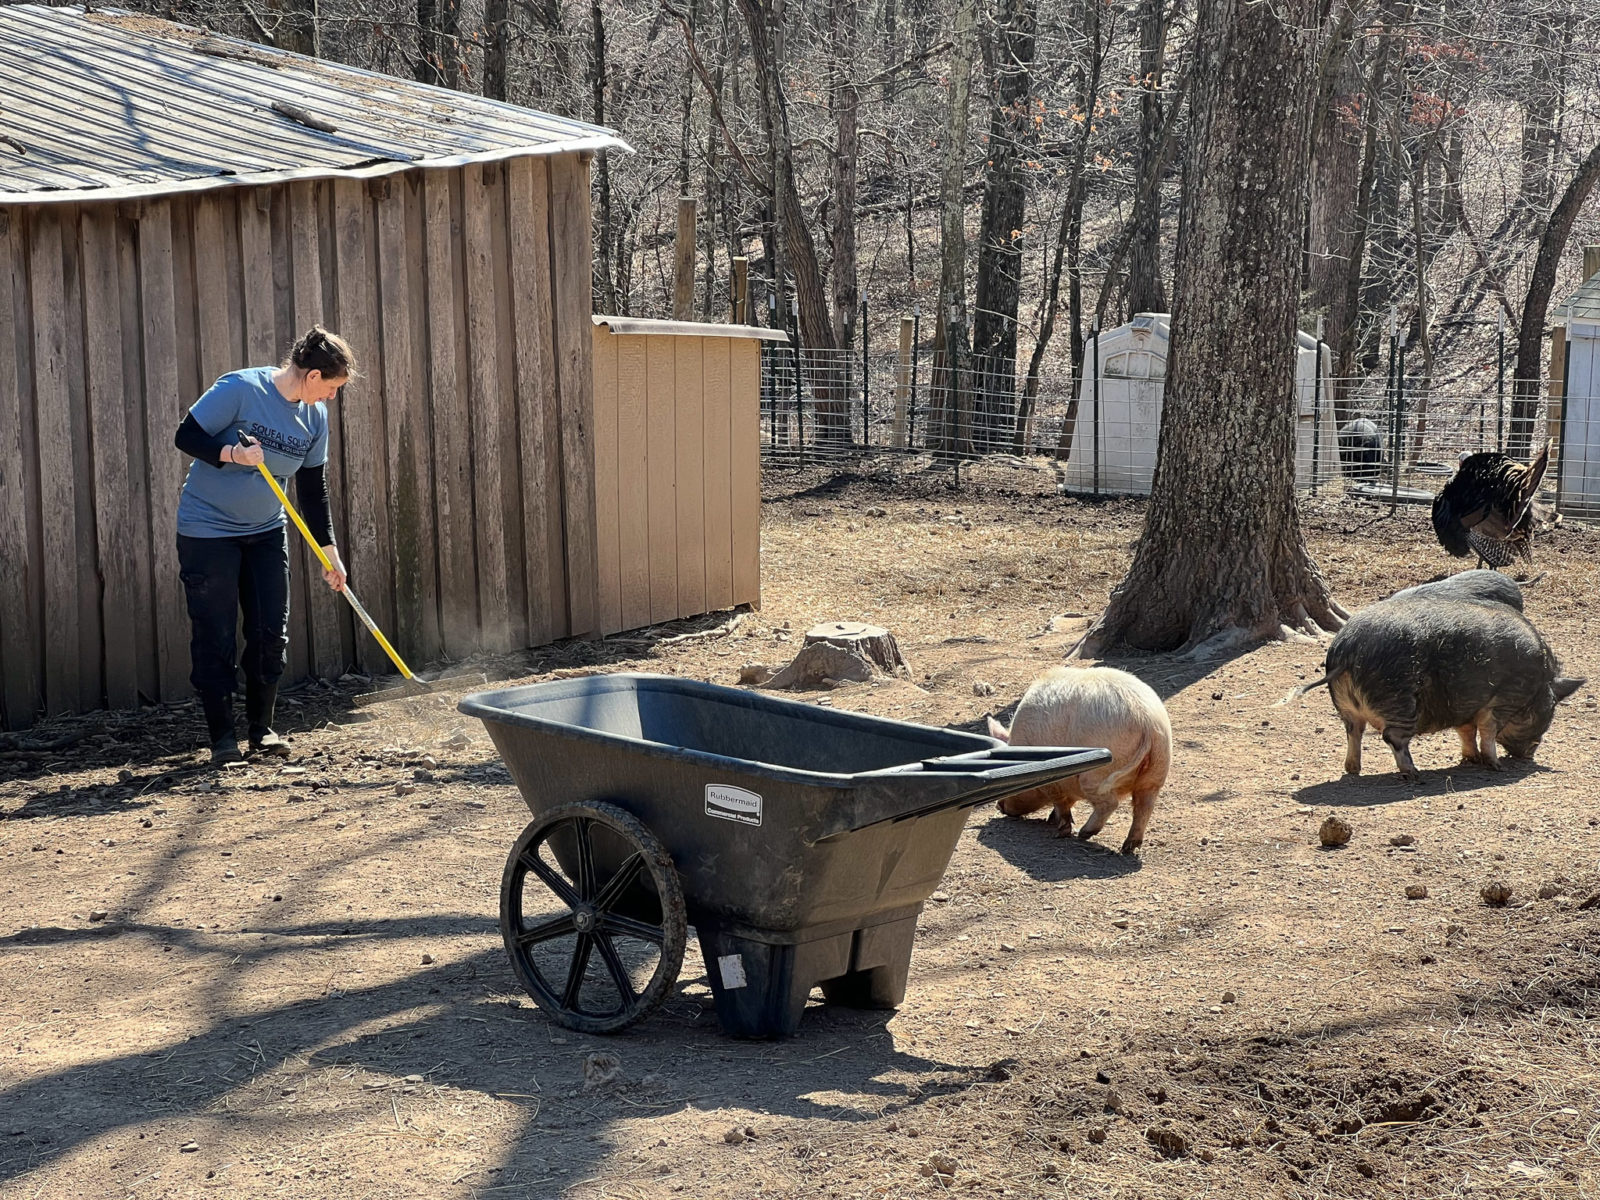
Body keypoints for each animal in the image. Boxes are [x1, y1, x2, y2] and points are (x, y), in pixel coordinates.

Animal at [986, 666, 1171, 854]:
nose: (998, 806)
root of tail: (1147, 722)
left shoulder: (1052, 783)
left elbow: (1060, 803)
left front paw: (1060, 831)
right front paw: (1053, 820)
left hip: (1096, 774)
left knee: (1110, 803)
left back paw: (1084, 834)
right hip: (1157, 770)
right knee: (1144, 807)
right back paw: (1128, 847)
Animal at [1301, 594, 1582, 779]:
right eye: (1549, 711)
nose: (1530, 754)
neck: (1537, 685)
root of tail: (1347, 650)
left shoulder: (1464, 707)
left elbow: (1466, 732)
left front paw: (1472, 759)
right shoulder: (1505, 698)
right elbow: (1488, 732)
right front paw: (1496, 766)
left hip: (1346, 708)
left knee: (1353, 732)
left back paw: (1353, 769)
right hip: (1399, 701)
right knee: (1392, 737)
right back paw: (1414, 774)